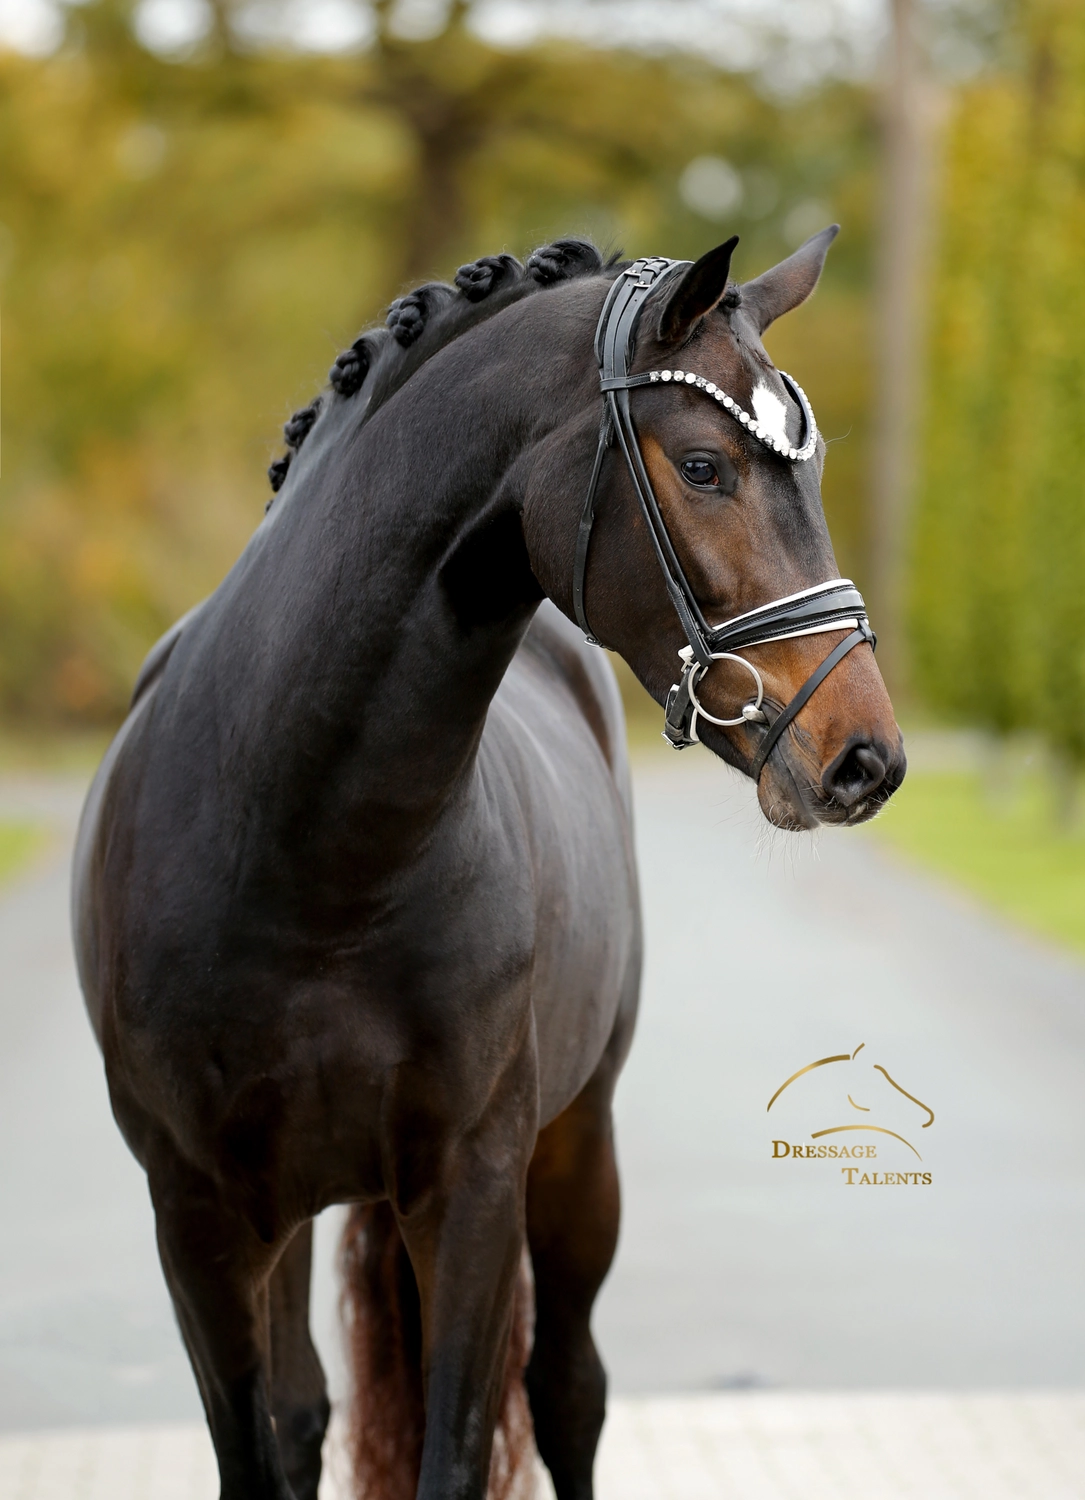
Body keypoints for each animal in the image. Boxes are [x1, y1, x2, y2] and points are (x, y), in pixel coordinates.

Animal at [71, 228, 905, 1500]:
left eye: (807, 475)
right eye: (704, 465)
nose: (863, 758)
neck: (306, 856)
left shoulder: (470, 1191)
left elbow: (456, 1447)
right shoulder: (199, 1218)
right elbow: (258, 1450)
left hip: (575, 1152)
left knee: (566, 1392)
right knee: (309, 1413)